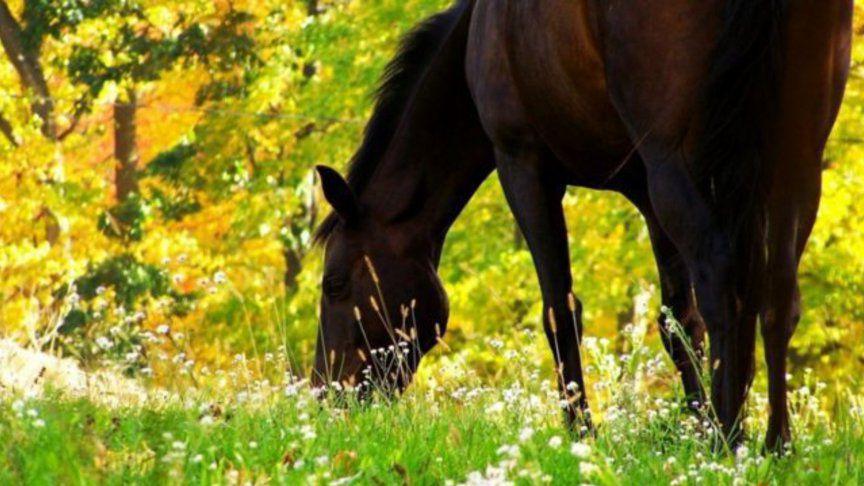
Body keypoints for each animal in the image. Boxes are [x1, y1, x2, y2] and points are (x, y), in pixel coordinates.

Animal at [312, 0, 852, 450]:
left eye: (334, 283)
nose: (323, 395)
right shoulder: (648, 194)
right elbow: (678, 321)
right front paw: (694, 427)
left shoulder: (524, 165)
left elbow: (560, 310)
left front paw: (581, 432)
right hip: (795, 160)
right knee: (777, 297)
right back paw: (774, 445)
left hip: (679, 164)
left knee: (723, 285)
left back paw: (729, 440)